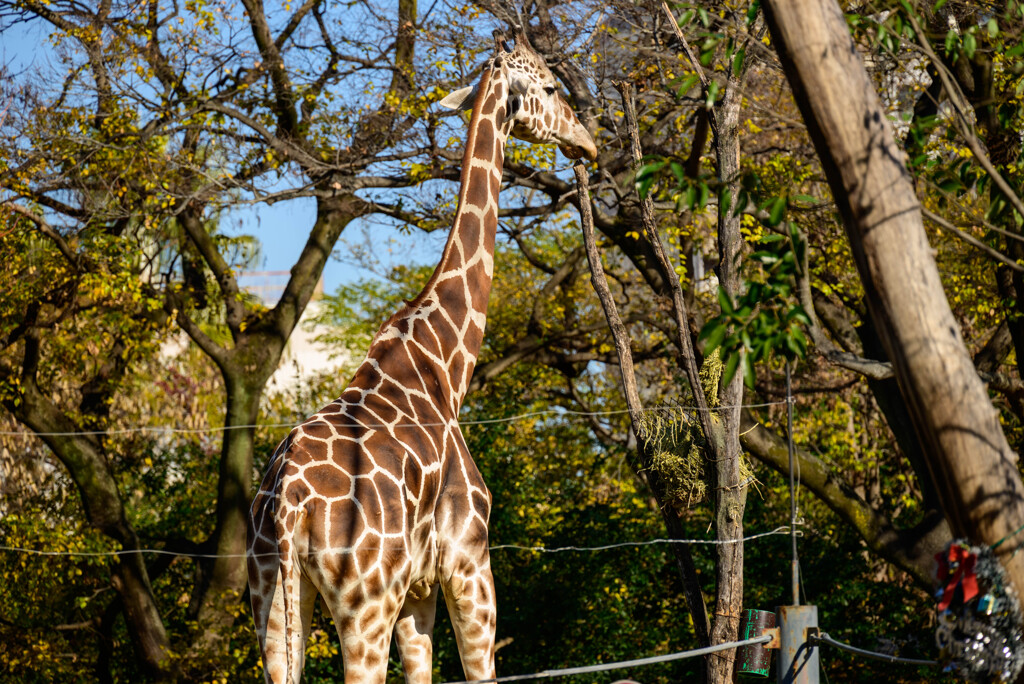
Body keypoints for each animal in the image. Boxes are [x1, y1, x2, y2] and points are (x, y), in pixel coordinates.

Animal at [247, 30, 598, 684]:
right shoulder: (468, 565)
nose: (586, 139)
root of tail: (286, 507)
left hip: (273, 601)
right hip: (364, 605)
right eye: (550, 87)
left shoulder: (417, 594)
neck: (442, 365)